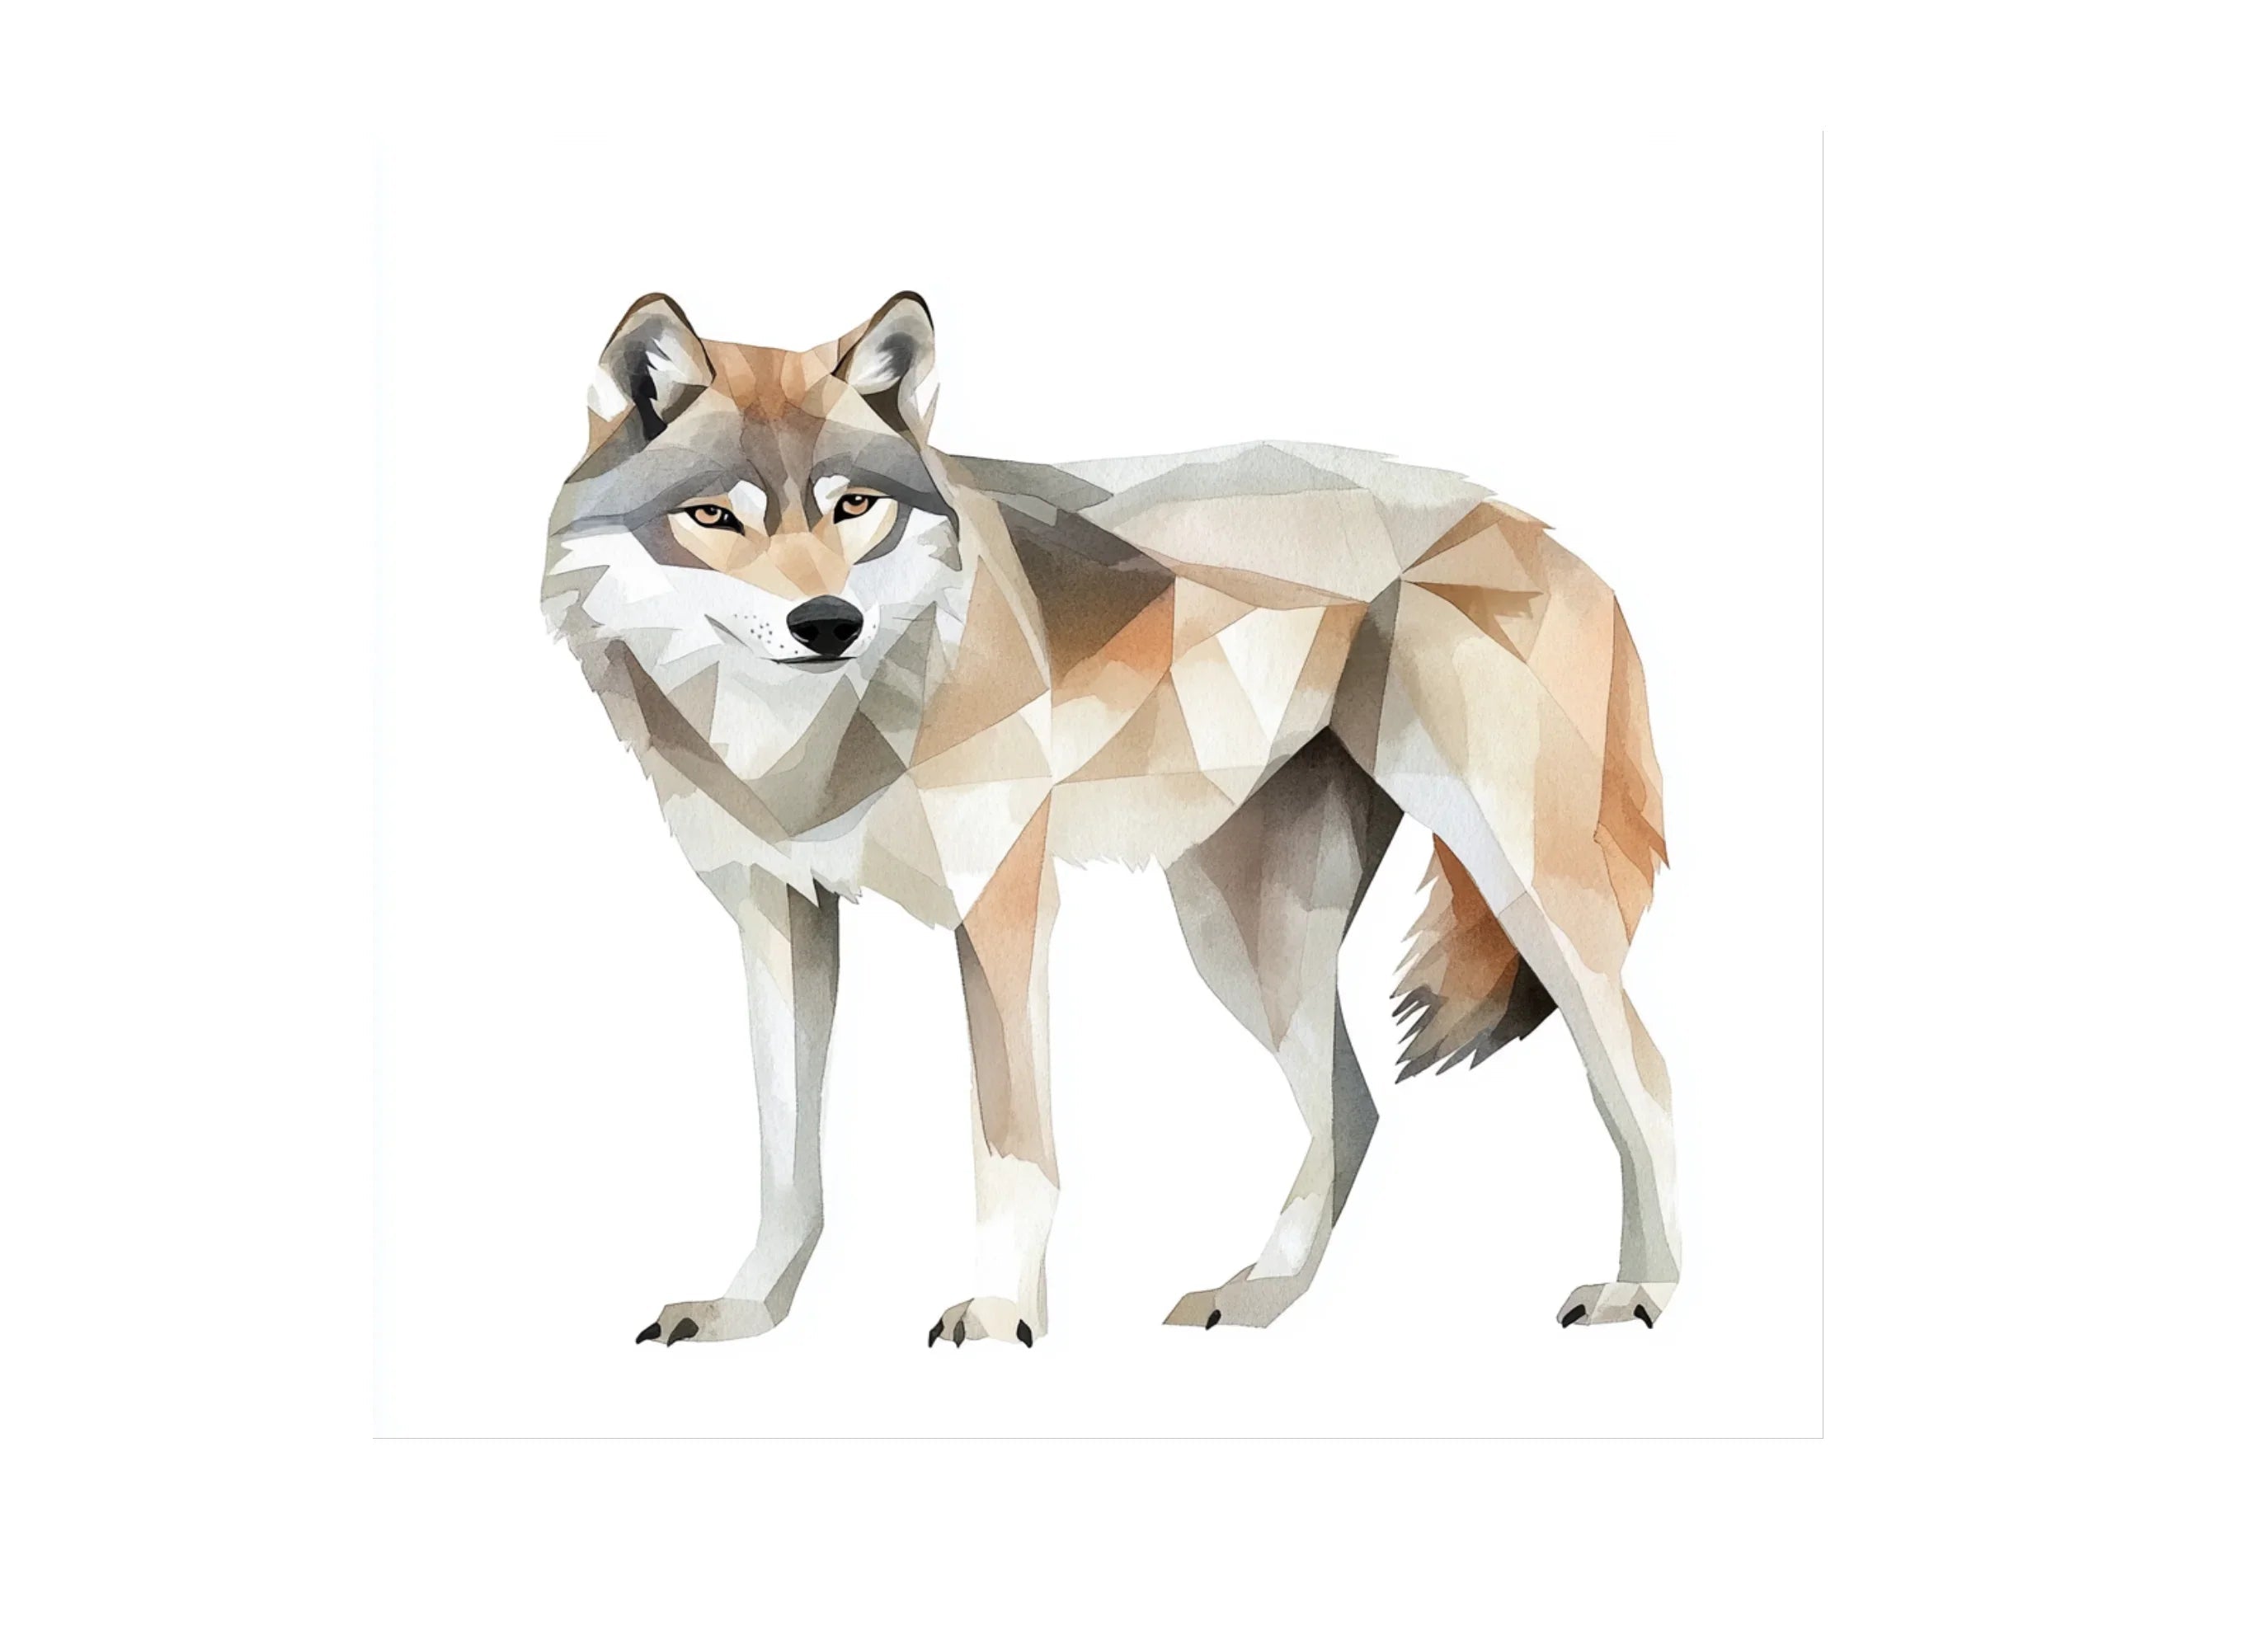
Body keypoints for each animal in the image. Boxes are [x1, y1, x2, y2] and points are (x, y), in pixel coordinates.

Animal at [544, 292, 1677, 1348]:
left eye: (854, 504)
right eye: (712, 517)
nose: (828, 623)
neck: (805, 740)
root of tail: (1534, 526)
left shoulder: (999, 907)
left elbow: (1010, 1143)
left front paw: (1001, 1310)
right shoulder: (775, 913)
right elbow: (785, 1154)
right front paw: (747, 1306)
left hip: (1522, 896)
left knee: (1645, 1078)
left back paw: (1641, 1289)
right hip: (1240, 941)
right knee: (1351, 1109)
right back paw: (1259, 1293)